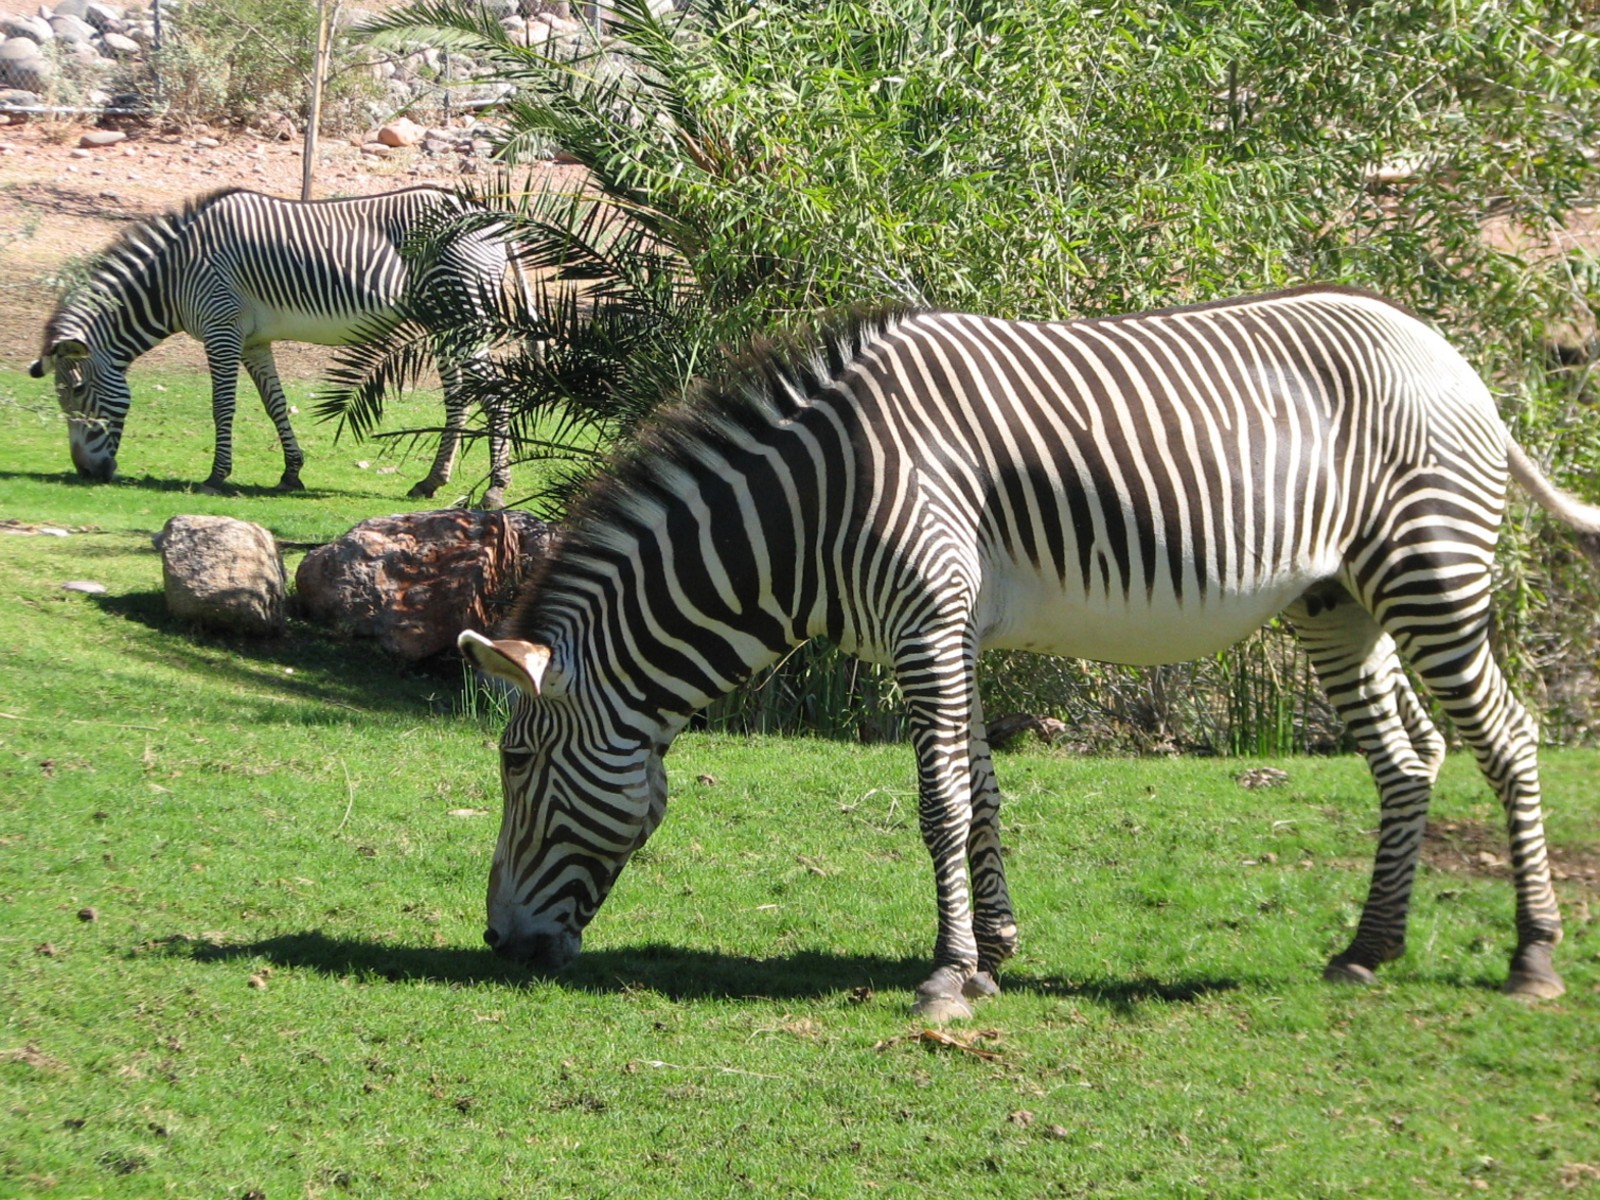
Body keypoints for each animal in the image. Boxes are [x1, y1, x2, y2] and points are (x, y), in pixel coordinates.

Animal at [30, 186, 523, 507]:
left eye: (76, 392)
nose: (85, 473)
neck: (173, 276)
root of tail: (492, 217)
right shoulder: (253, 340)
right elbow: (275, 404)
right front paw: (291, 472)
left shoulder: (221, 329)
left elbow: (222, 407)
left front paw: (216, 477)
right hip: (445, 322)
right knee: (459, 397)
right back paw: (430, 482)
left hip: (463, 312)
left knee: (495, 395)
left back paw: (496, 490)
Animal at [457, 287, 1600, 1021]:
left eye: (514, 763)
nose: (497, 947)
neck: (817, 504)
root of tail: (1450, 355)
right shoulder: (951, 630)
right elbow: (983, 792)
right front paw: (994, 953)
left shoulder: (924, 625)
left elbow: (940, 802)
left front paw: (945, 979)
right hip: (1338, 602)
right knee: (1406, 760)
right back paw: (1368, 951)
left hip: (1430, 570)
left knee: (1508, 739)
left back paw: (1532, 958)